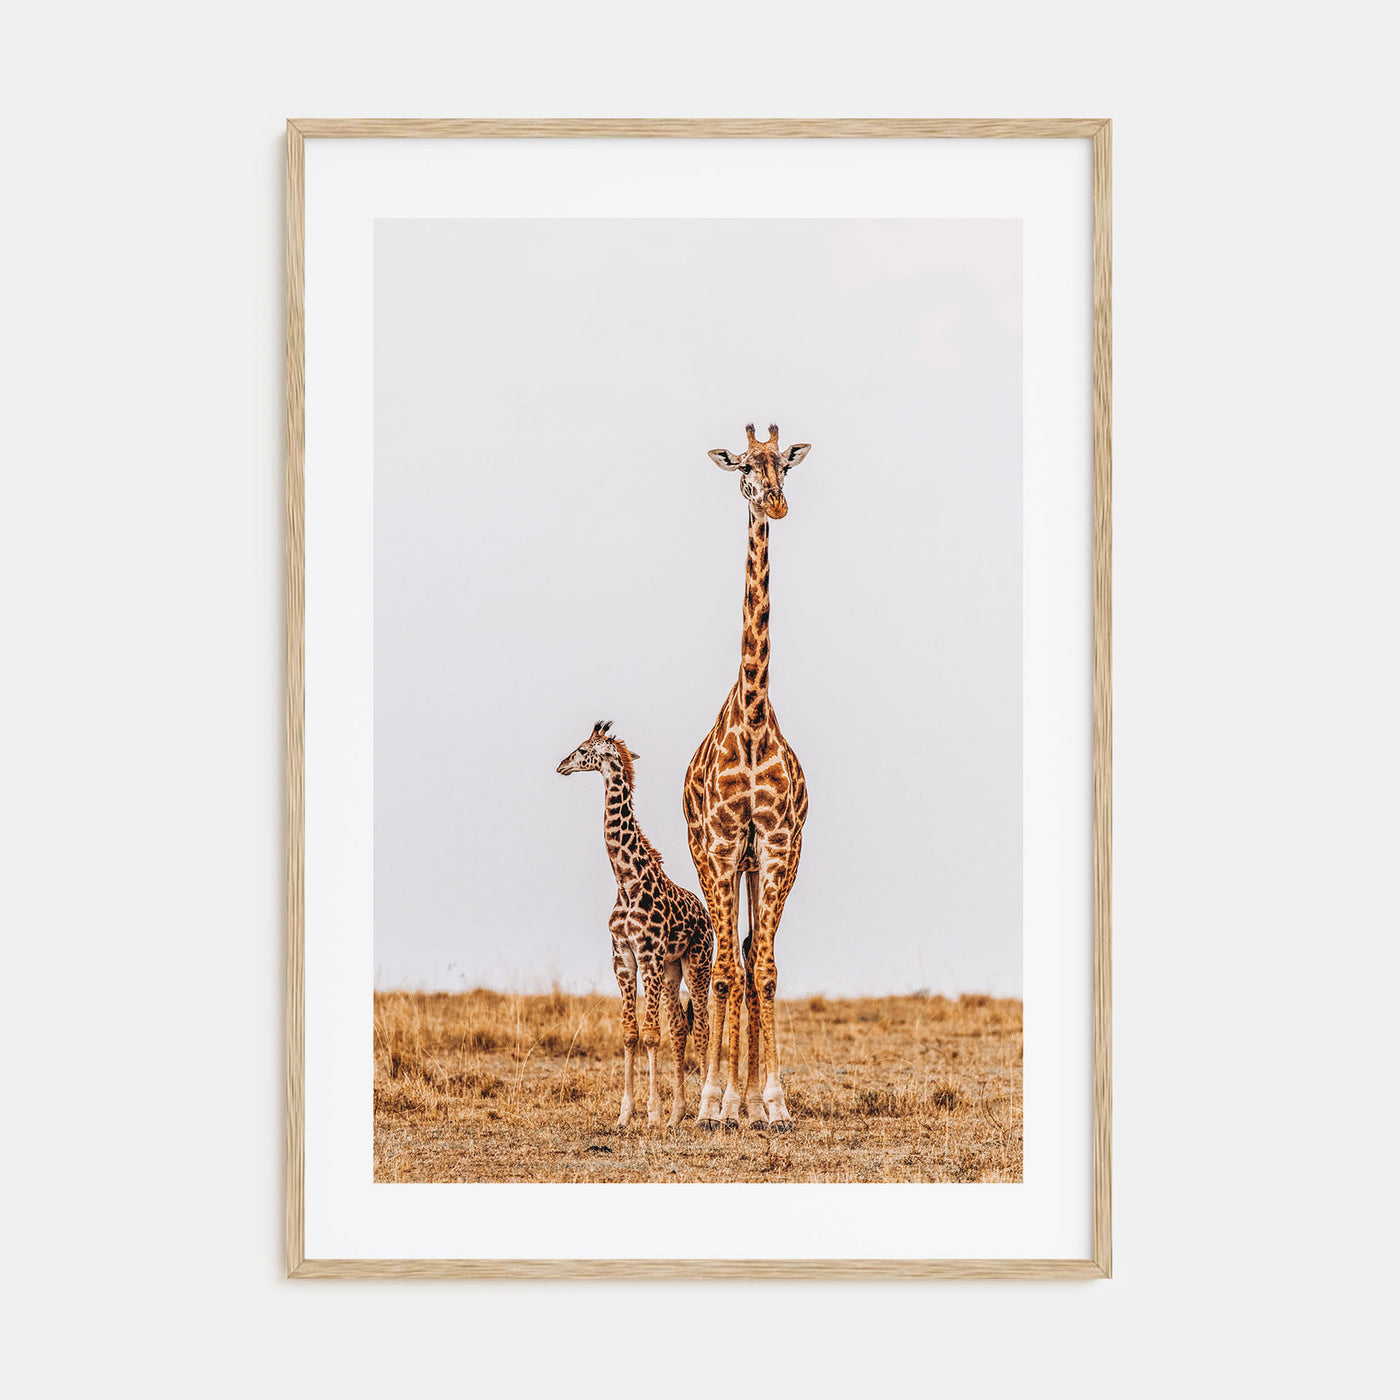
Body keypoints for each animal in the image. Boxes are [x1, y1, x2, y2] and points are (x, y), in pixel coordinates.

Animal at [557, 721, 714, 1129]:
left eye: (584, 750)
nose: (561, 765)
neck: (627, 881)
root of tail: (705, 913)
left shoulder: (649, 955)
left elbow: (651, 1034)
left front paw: (652, 1114)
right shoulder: (623, 957)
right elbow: (630, 1034)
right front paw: (626, 1114)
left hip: (697, 962)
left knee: (703, 1026)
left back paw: (705, 1110)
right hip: (673, 968)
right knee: (680, 1028)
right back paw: (678, 1115)